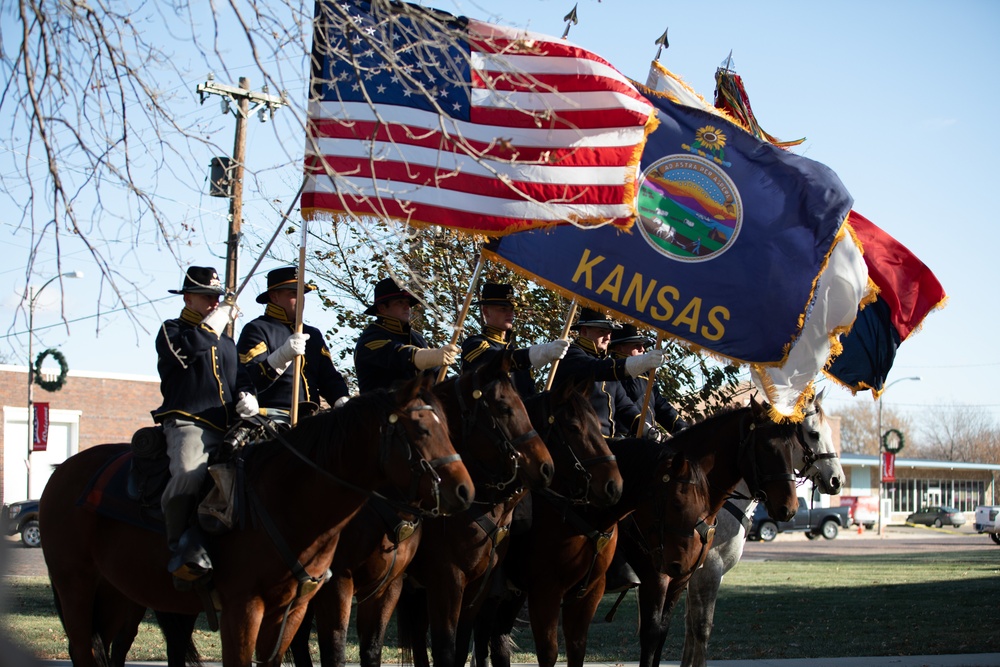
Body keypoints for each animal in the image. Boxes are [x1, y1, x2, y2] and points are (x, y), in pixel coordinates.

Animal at [39, 378, 472, 664]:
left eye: (449, 428)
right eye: (421, 428)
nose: (465, 491)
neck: (290, 499)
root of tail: (62, 471)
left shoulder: (292, 609)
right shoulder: (244, 607)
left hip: (121, 594)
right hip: (75, 585)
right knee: (84, 650)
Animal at [286, 350, 568, 667]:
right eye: (504, 407)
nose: (546, 467)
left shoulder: (469, 588)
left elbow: (456, 648)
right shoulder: (440, 582)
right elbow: (442, 649)